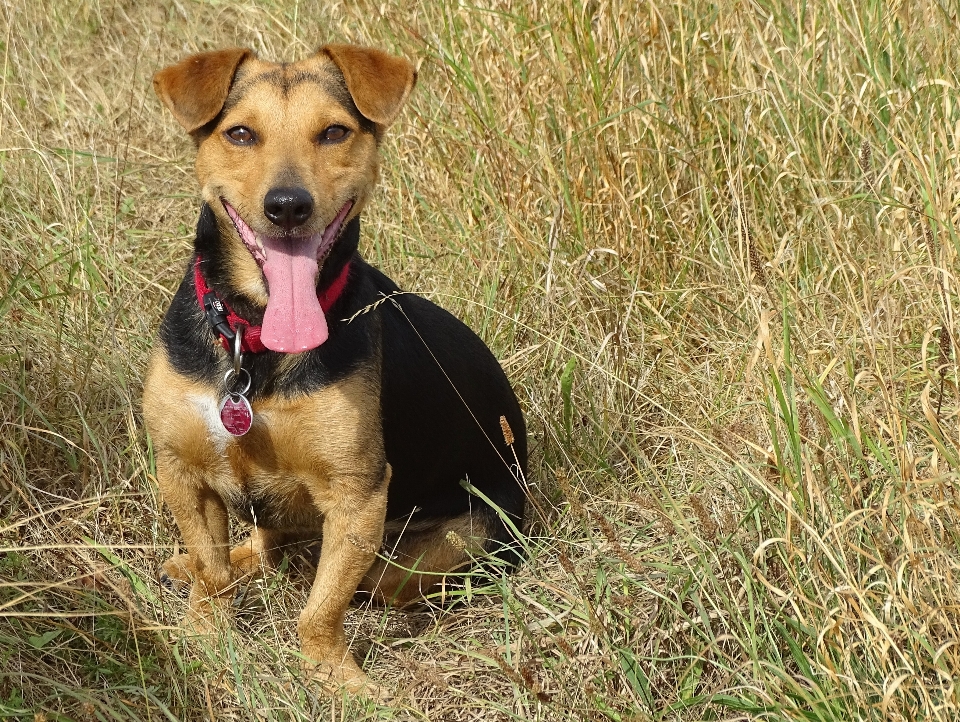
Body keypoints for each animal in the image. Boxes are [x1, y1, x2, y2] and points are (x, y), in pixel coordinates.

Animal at [144, 46, 524, 692]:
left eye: (334, 132)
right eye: (240, 133)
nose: (288, 206)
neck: (256, 342)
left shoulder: (357, 494)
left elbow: (320, 608)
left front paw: (336, 678)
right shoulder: (180, 468)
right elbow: (215, 573)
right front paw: (204, 637)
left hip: (464, 536)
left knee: (364, 575)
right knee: (267, 546)